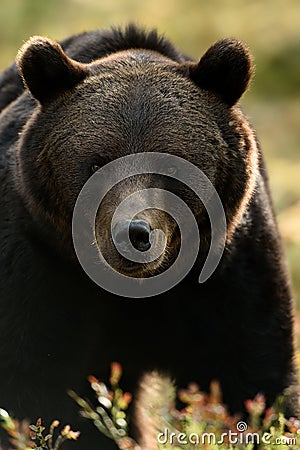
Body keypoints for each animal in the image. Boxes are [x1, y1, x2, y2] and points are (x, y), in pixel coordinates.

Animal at [0, 24, 298, 450]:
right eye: (96, 163)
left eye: (171, 165)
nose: (133, 233)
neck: (136, 290)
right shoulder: (40, 263)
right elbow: (31, 380)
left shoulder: (228, 268)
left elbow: (250, 372)